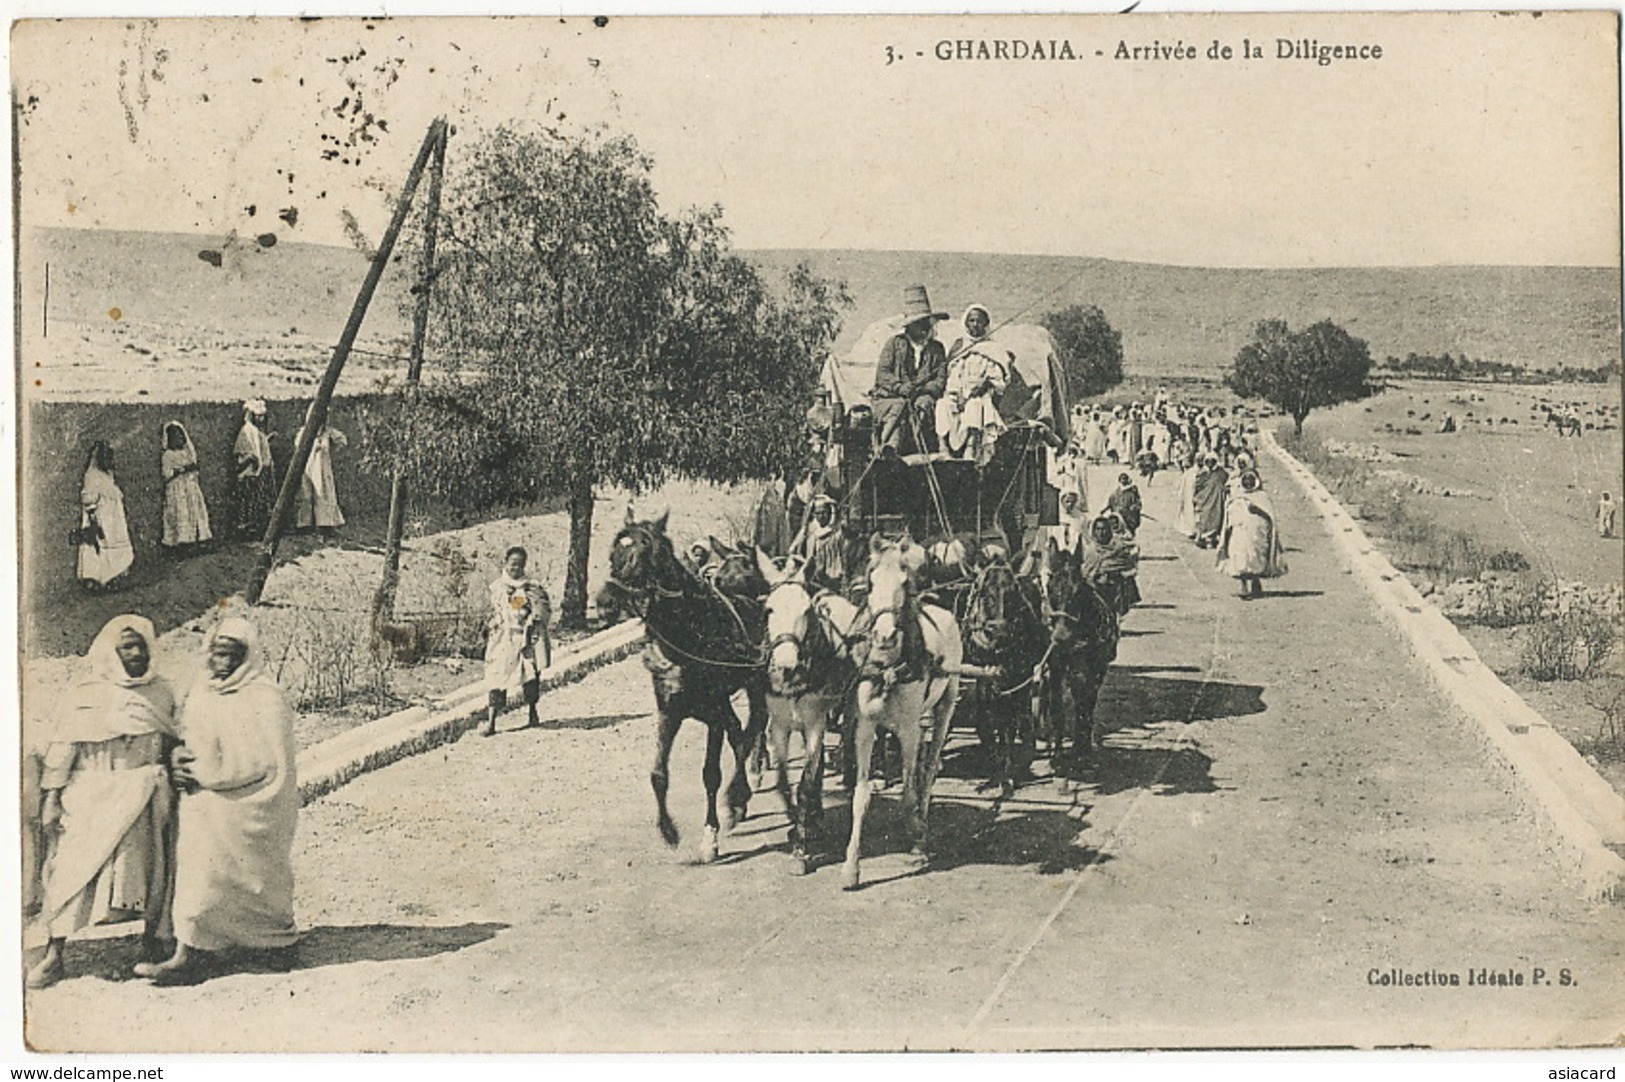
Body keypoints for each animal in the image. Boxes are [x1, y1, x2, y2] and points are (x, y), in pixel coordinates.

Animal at [601, 506, 770, 857]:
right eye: (614, 552)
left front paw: (710, 836)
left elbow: (711, 773)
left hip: (757, 683)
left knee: (755, 725)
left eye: (646, 553)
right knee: (740, 732)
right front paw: (668, 830)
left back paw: (740, 792)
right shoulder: (669, 710)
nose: (604, 600)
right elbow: (658, 774)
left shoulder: (714, 712)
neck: (688, 632)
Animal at [757, 552, 871, 870]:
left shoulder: (815, 723)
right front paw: (795, 825)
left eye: (806, 610)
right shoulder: (780, 724)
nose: (786, 665)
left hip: (847, 705)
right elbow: (784, 784)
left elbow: (806, 784)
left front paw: (802, 848)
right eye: (769, 609)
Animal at [845, 536, 955, 890]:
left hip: (947, 701)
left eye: (906, 583)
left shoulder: (908, 729)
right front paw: (851, 868)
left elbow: (908, 793)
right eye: (870, 582)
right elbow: (860, 796)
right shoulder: (865, 728)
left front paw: (918, 836)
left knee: (929, 766)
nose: (885, 636)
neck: (889, 667)